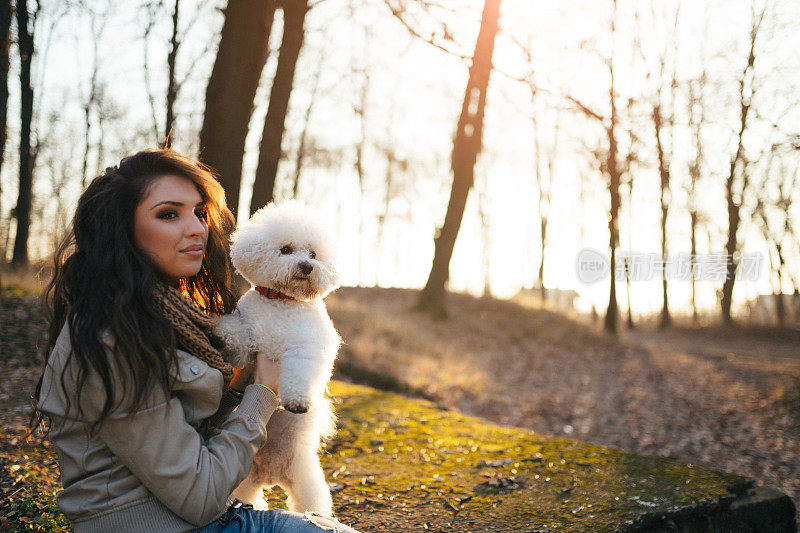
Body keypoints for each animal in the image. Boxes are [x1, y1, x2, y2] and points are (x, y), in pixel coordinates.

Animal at [212, 201, 340, 516]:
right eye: (285, 249)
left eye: (314, 254)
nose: (307, 266)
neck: (282, 301)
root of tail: (271, 474)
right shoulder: (248, 342)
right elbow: (239, 335)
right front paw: (221, 332)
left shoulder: (308, 348)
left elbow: (299, 373)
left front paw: (297, 402)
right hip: (246, 477)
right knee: (246, 492)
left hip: (305, 477)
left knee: (311, 500)